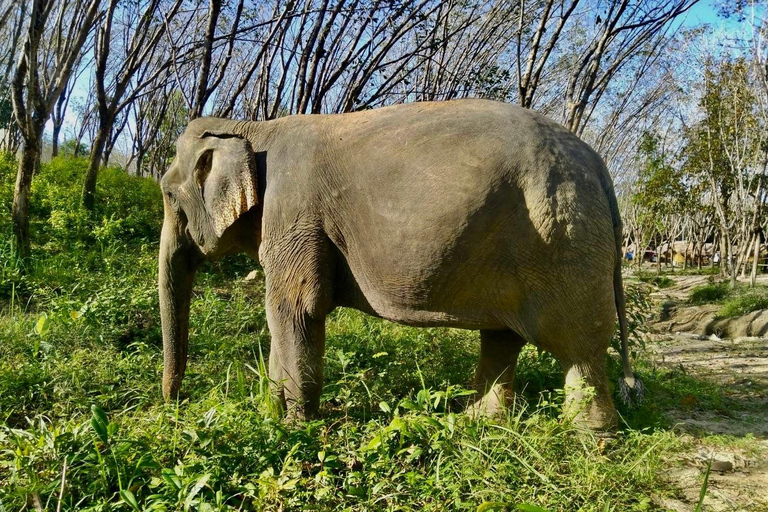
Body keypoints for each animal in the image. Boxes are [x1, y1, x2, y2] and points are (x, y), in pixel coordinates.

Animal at [159, 98, 640, 430]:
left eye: (166, 193)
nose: (174, 405)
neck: (251, 127)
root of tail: (599, 165)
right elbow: (288, 315)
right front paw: (273, 413)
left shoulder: (294, 213)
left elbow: (296, 308)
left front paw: (293, 427)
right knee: (502, 337)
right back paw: (479, 424)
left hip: (563, 239)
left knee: (578, 345)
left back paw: (592, 441)